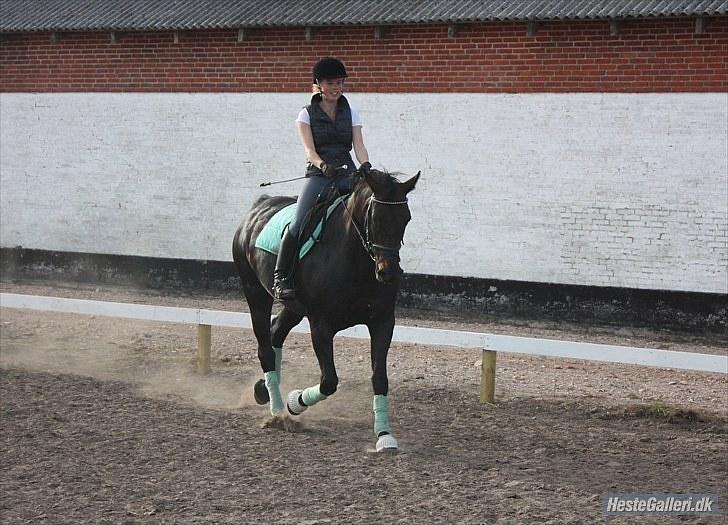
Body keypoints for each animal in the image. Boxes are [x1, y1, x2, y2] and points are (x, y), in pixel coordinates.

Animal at [230, 167, 418, 450]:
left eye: (405, 218)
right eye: (375, 218)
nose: (389, 273)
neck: (356, 261)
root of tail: (259, 206)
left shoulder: (383, 322)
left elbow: (379, 378)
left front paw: (384, 435)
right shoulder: (321, 326)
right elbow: (329, 381)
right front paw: (295, 402)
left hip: (294, 308)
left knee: (275, 333)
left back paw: (262, 390)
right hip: (255, 293)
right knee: (265, 347)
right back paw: (278, 412)